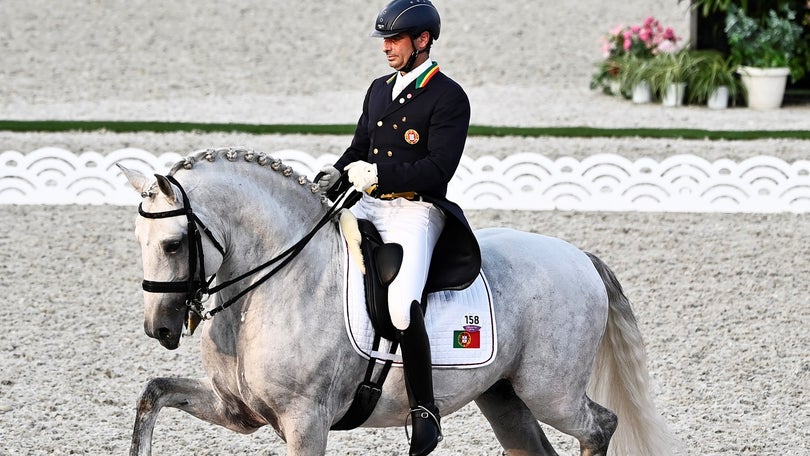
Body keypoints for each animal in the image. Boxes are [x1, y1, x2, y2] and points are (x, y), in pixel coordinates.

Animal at [117, 148, 680, 454]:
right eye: (139, 241)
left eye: (173, 244)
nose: (159, 329)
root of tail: (581, 257)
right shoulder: (237, 410)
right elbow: (152, 394)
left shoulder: (305, 423)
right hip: (505, 397)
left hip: (551, 392)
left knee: (601, 426)